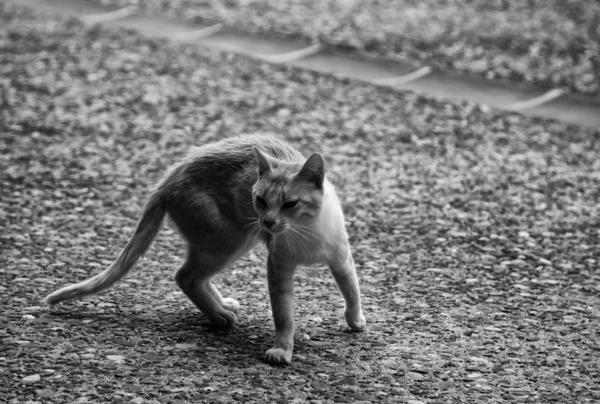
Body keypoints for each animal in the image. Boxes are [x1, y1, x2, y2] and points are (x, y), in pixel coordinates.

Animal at [44, 134, 366, 364]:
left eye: (290, 204)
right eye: (261, 200)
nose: (269, 221)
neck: (305, 233)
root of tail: (168, 179)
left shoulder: (340, 258)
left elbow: (352, 290)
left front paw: (355, 320)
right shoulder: (278, 268)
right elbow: (284, 315)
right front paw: (282, 349)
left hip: (235, 240)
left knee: (197, 277)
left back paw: (222, 306)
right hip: (232, 238)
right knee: (185, 276)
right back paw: (219, 316)